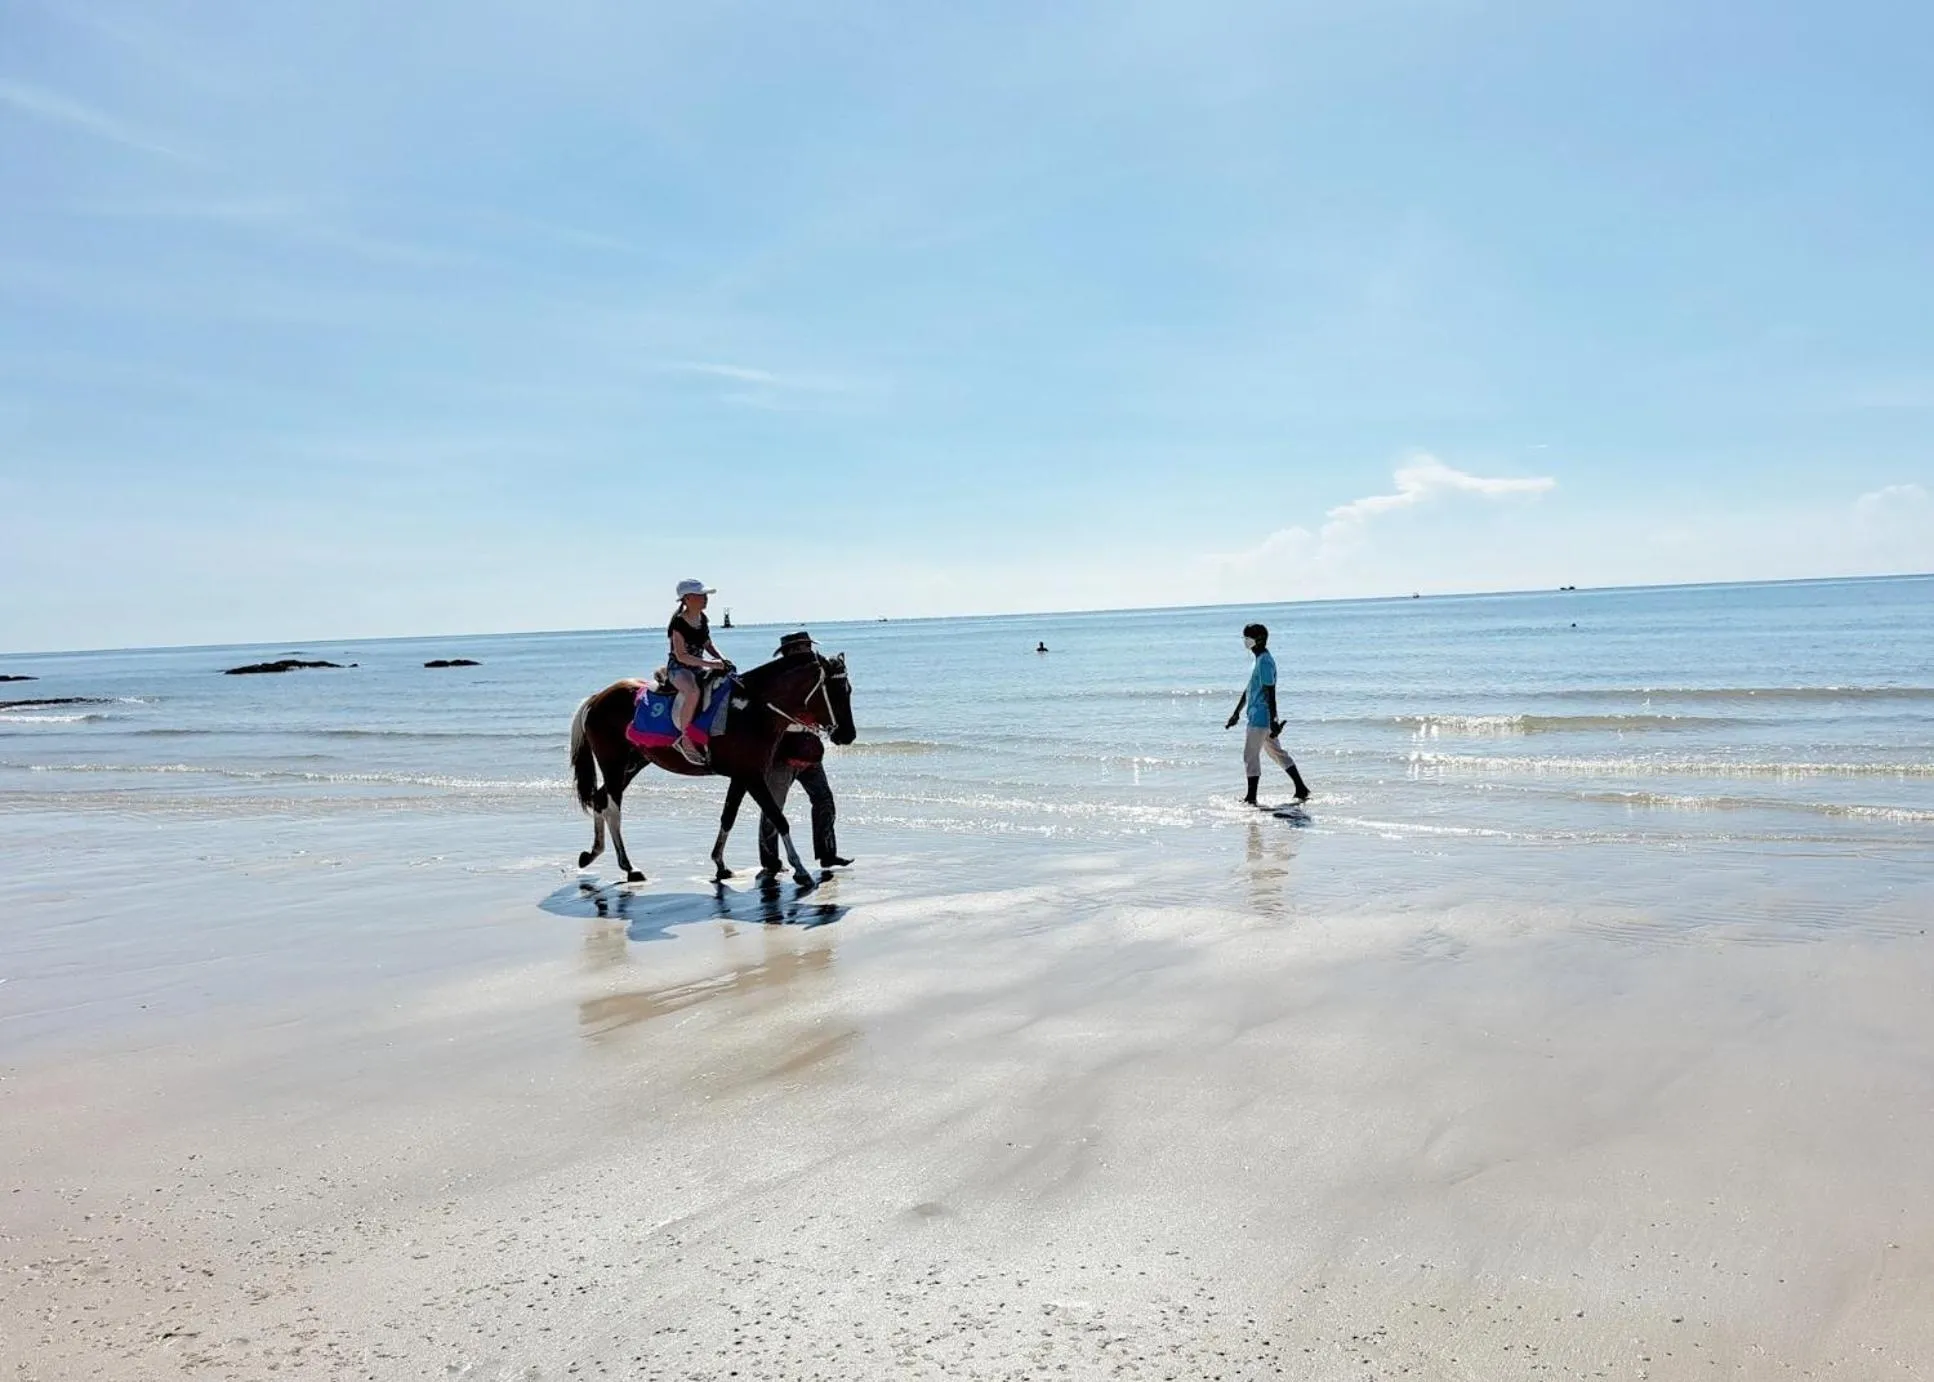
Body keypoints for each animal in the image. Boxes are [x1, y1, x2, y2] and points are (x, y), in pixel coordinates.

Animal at [568, 649, 856, 891]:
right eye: (836, 691)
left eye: (848, 689)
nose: (848, 734)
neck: (750, 710)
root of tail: (596, 699)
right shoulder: (752, 777)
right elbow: (778, 818)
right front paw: (801, 870)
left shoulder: (742, 776)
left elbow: (728, 816)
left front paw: (720, 863)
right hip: (614, 765)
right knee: (613, 809)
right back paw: (628, 867)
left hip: (633, 763)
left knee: (599, 798)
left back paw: (592, 854)